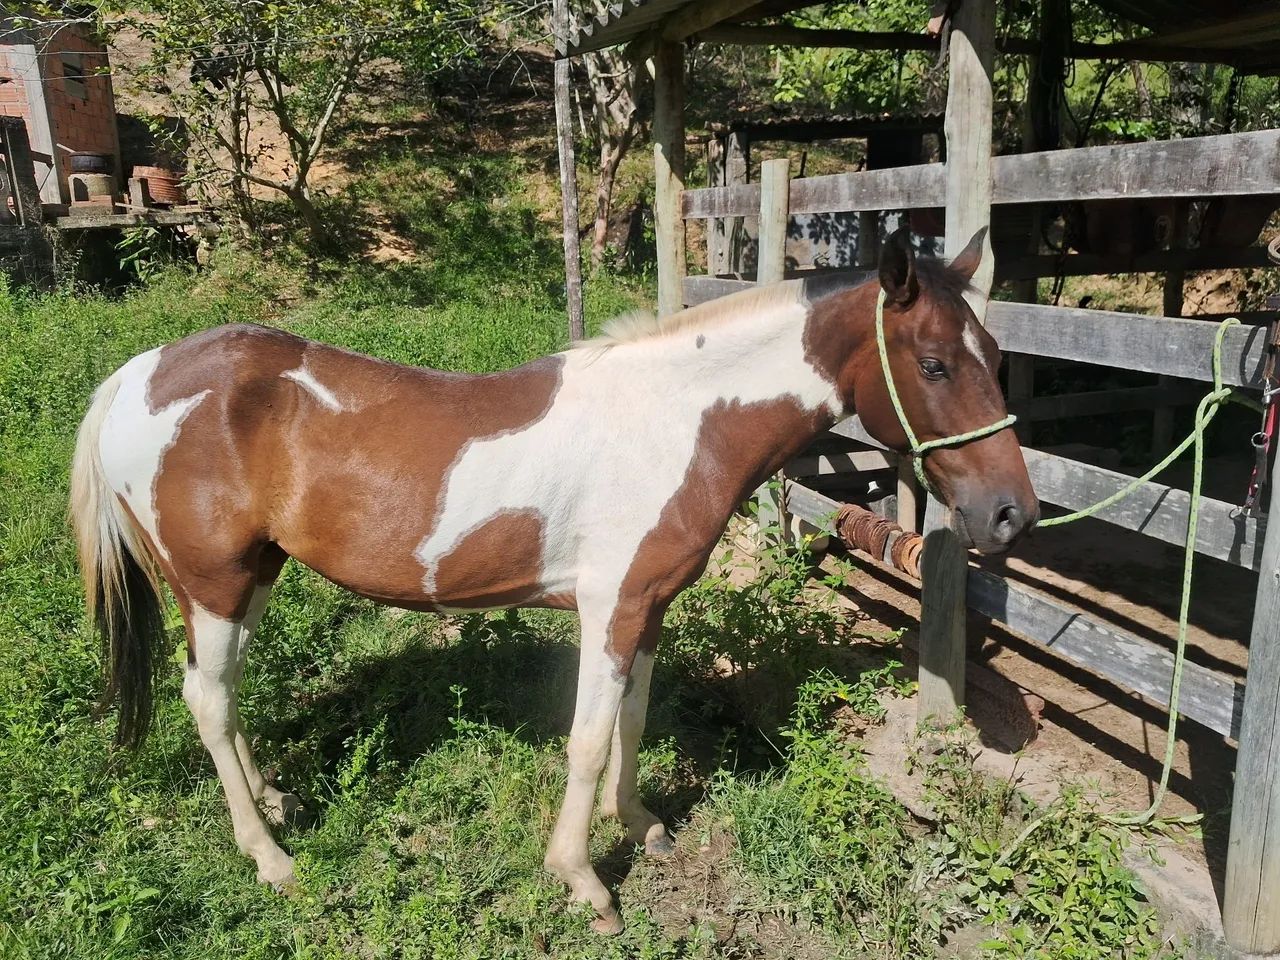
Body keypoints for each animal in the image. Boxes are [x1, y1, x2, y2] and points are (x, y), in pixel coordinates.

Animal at [69, 227, 1037, 934]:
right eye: (935, 364)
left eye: (996, 356)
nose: (1012, 516)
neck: (674, 420)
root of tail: (136, 374)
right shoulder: (609, 607)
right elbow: (586, 738)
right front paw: (583, 881)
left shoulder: (647, 607)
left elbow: (632, 721)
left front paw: (641, 824)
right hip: (213, 581)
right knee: (207, 699)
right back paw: (271, 857)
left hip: (250, 576)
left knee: (221, 693)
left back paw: (273, 798)